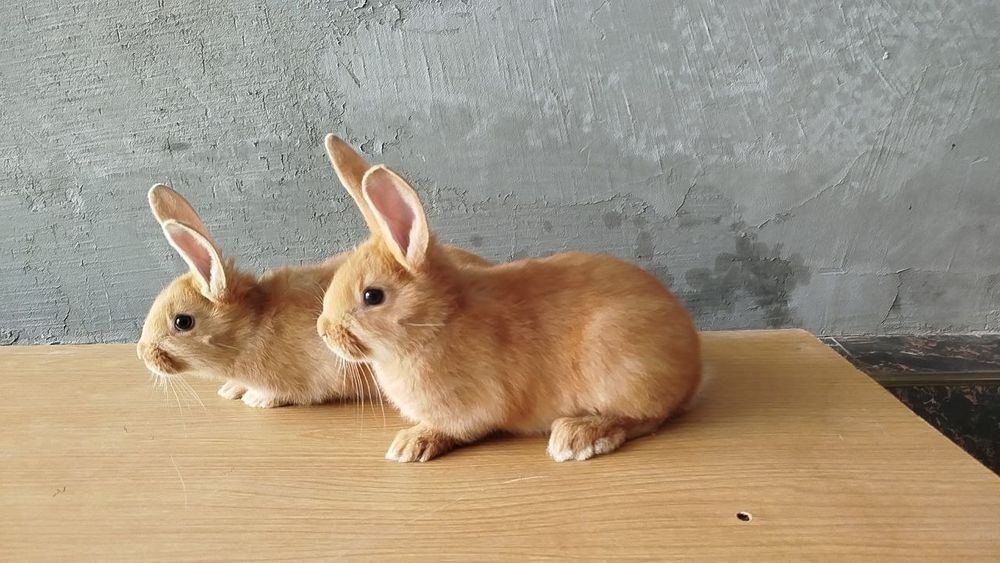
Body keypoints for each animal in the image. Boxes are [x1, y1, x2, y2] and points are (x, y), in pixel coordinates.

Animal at [316, 163, 702, 463]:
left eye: (372, 296)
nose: (323, 330)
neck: (438, 321)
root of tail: (693, 367)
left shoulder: (472, 408)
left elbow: (455, 429)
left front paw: (412, 443)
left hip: (619, 365)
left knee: (647, 417)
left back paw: (577, 436)